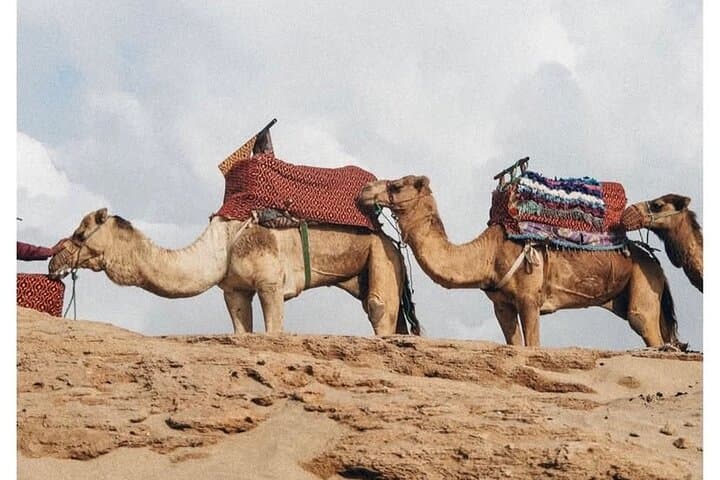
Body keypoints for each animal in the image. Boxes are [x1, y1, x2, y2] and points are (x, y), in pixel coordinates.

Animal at [48, 208, 420, 336]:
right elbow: (242, 330)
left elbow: (273, 331)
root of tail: (391, 239)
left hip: (382, 256)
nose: (54, 261)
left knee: (379, 309)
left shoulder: (271, 283)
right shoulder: (234, 290)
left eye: (80, 234)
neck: (221, 244)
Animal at [359, 175, 683, 348]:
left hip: (643, 282)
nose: (366, 191)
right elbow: (515, 345)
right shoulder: (501, 304)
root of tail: (654, 261)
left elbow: (533, 346)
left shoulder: (529, 297)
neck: (489, 254)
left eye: (396, 186)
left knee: (647, 325)